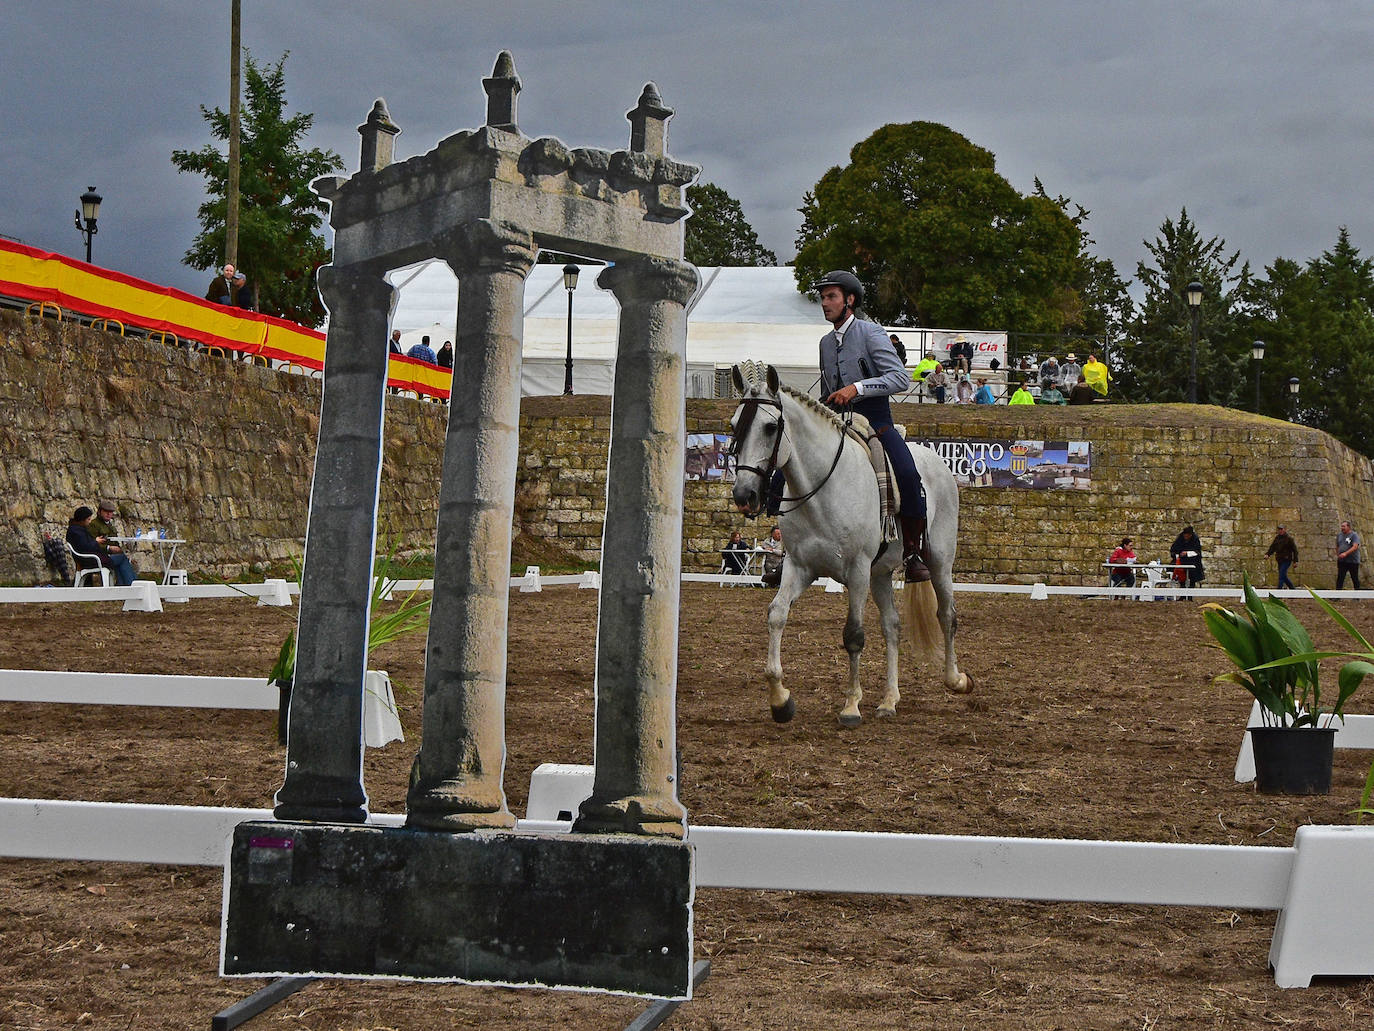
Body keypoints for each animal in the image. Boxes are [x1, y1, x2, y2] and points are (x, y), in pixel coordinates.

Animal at [730, 362, 967, 725]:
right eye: (733, 426)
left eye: (771, 427)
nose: (745, 495)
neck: (821, 489)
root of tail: (935, 461)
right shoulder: (800, 567)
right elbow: (777, 614)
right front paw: (780, 700)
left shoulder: (856, 571)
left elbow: (853, 634)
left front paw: (851, 705)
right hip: (880, 574)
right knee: (892, 626)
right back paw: (889, 700)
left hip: (939, 562)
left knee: (947, 615)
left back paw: (955, 679)